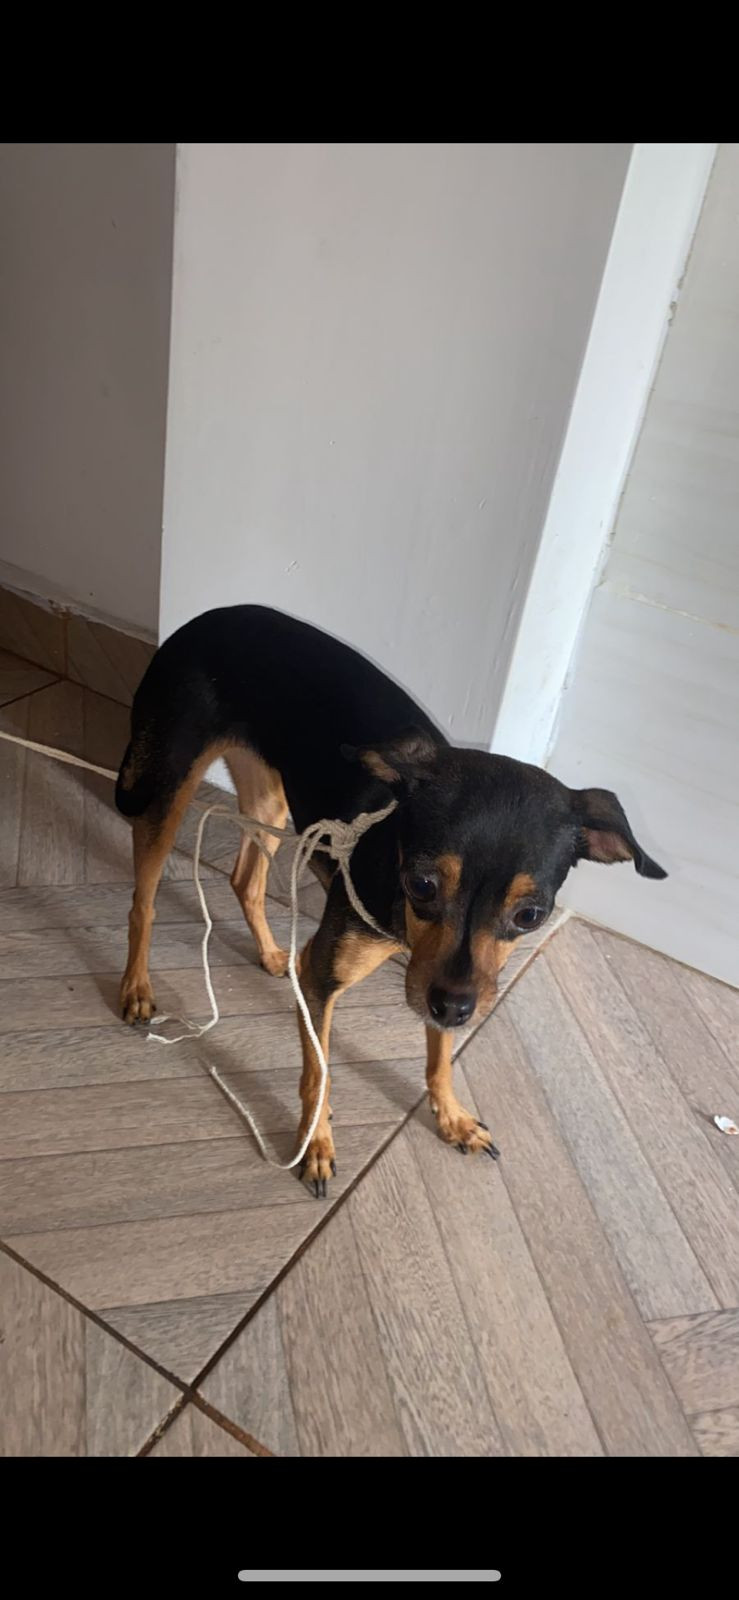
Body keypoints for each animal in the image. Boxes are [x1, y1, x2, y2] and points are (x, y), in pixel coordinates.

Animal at [116, 605, 666, 1195]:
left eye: (530, 915)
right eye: (422, 885)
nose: (455, 1008)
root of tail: (208, 615)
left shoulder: (441, 981)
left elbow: (440, 1058)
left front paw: (451, 1118)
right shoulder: (329, 977)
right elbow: (319, 1070)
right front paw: (316, 1143)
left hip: (268, 798)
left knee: (245, 879)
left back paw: (270, 953)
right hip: (165, 787)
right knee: (143, 900)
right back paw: (137, 986)